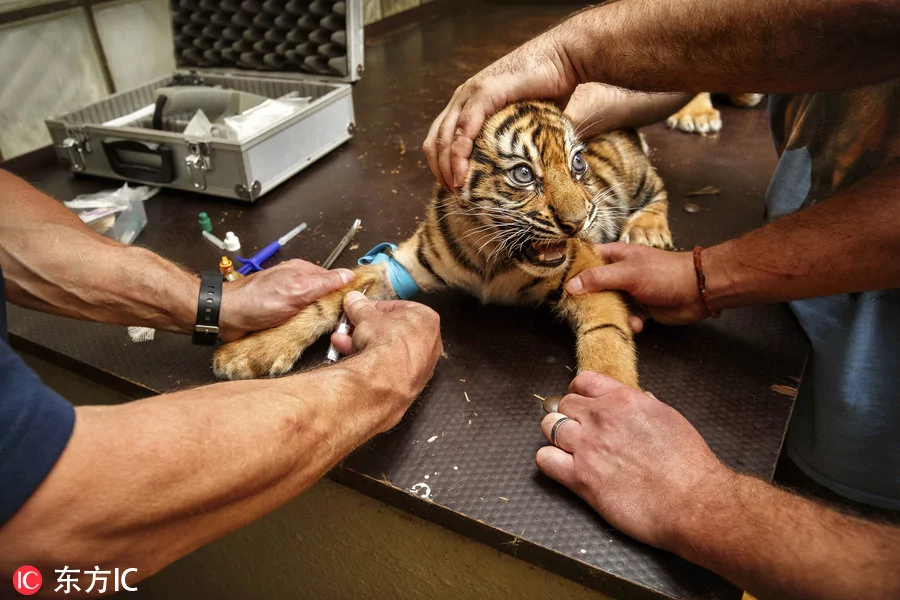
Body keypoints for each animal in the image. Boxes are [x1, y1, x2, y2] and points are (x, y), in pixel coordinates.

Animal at [213, 100, 673, 389]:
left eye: (577, 164)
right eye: (523, 174)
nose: (578, 224)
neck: (492, 254)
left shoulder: (587, 273)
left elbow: (606, 341)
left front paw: (613, 410)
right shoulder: (401, 264)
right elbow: (326, 299)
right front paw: (251, 350)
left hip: (637, 178)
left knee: (658, 188)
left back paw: (648, 229)